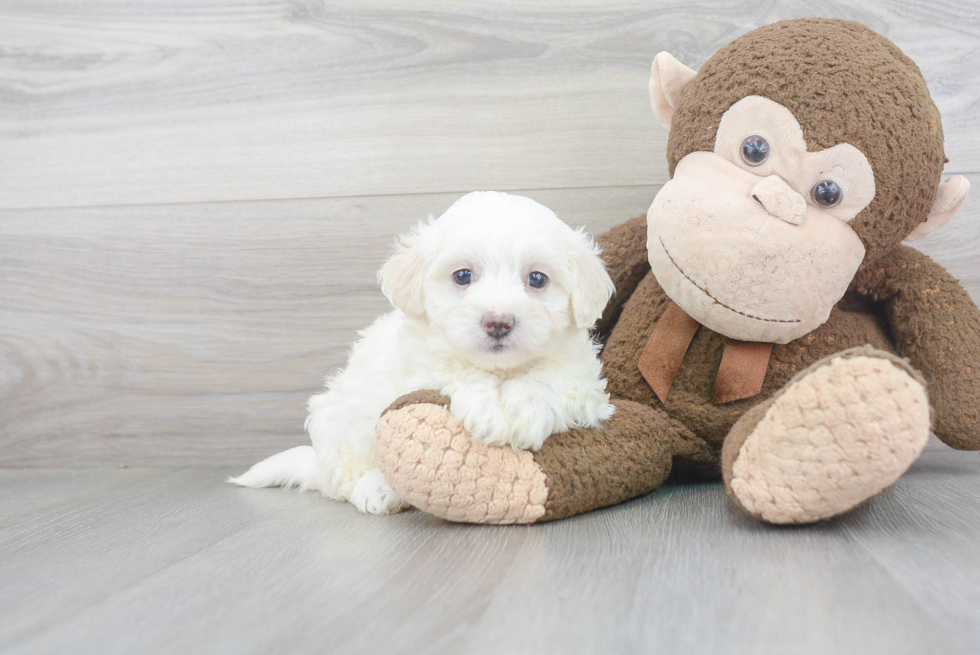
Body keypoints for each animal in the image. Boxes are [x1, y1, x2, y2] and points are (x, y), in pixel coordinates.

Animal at [230, 192, 612, 516]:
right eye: (463, 276)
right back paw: (378, 489)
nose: (498, 322)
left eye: (537, 279)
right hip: (336, 424)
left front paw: (525, 412)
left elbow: (549, 379)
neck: (499, 369)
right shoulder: (421, 366)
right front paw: (486, 412)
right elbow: (457, 372)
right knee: (344, 478)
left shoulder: (585, 383)